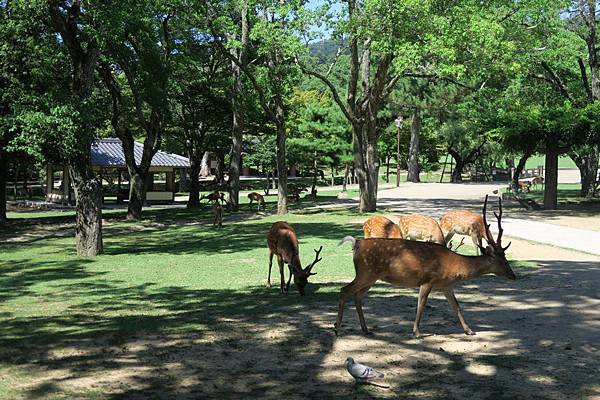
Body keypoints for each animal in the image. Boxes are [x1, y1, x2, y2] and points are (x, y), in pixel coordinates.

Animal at [338, 196, 516, 338]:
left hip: (371, 277)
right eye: (504, 261)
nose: (514, 276)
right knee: (345, 290)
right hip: (365, 273)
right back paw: (337, 328)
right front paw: (416, 332)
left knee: (357, 296)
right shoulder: (427, 280)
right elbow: (421, 306)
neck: (455, 267)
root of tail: (356, 244)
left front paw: (469, 331)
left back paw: (365, 329)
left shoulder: (446, 286)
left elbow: (457, 306)